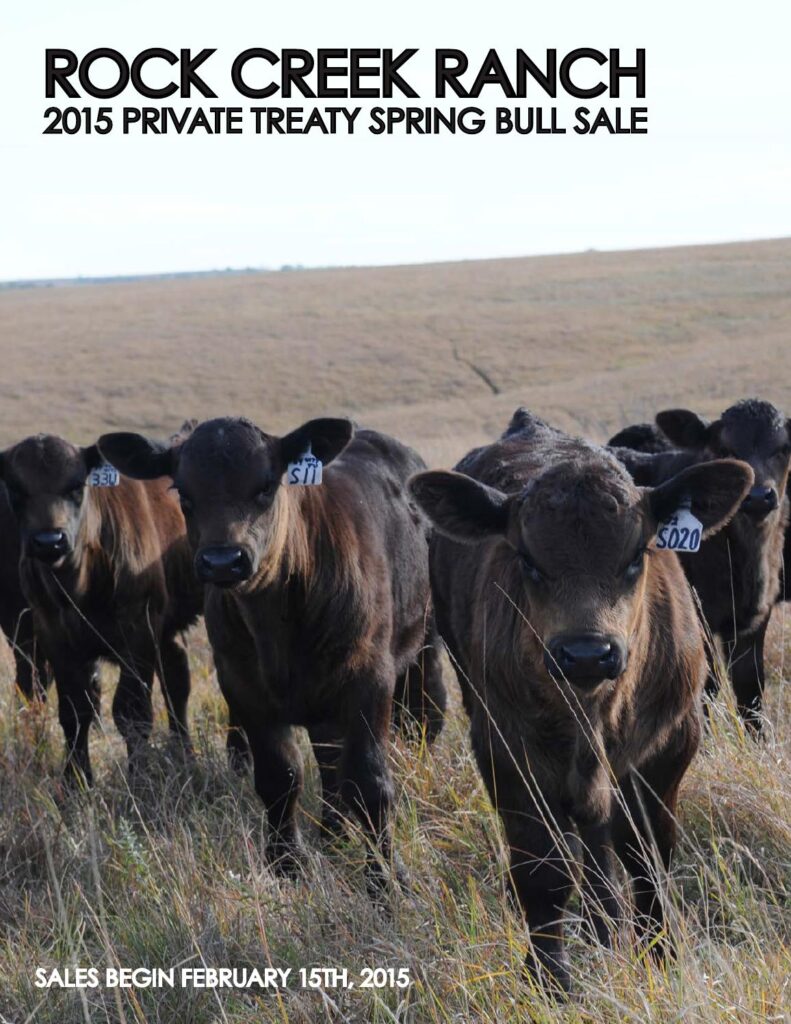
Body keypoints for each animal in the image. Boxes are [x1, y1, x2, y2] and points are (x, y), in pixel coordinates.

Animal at [0, 428, 202, 785]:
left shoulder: (139, 631)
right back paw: (184, 755)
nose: (50, 541)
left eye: (76, 486)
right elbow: (74, 710)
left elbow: (132, 712)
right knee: (177, 677)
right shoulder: (53, 635)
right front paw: (76, 781)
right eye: (15, 489)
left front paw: (140, 779)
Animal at [98, 416, 446, 892]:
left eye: (265, 485)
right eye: (183, 493)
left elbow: (371, 782)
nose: (223, 561)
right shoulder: (242, 685)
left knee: (424, 714)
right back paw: (332, 833)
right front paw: (287, 863)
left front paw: (386, 879)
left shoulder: (370, 680)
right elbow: (280, 776)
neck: (277, 627)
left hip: (424, 642)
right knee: (329, 758)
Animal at [409, 408, 752, 992]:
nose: (587, 654)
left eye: (637, 554)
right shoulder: (505, 746)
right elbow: (542, 870)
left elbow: (648, 855)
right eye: (528, 560)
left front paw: (661, 955)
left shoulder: (670, 744)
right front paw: (550, 979)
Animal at [609, 399, 791, 730]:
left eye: (783, 447)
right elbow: (706, 683)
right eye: (725, 448)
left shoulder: (755, 615)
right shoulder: (695, 612)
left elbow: (750, 686)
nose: (759, 497)